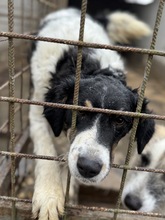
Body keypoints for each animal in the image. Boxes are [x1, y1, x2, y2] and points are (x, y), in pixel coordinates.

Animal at [29, 7, 155, 220]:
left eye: (120, 120)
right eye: (79, 111)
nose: (88, 168)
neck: (92, 66)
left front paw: (67, 189)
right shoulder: (37, 110)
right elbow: (46, 151)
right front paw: (49, 195)